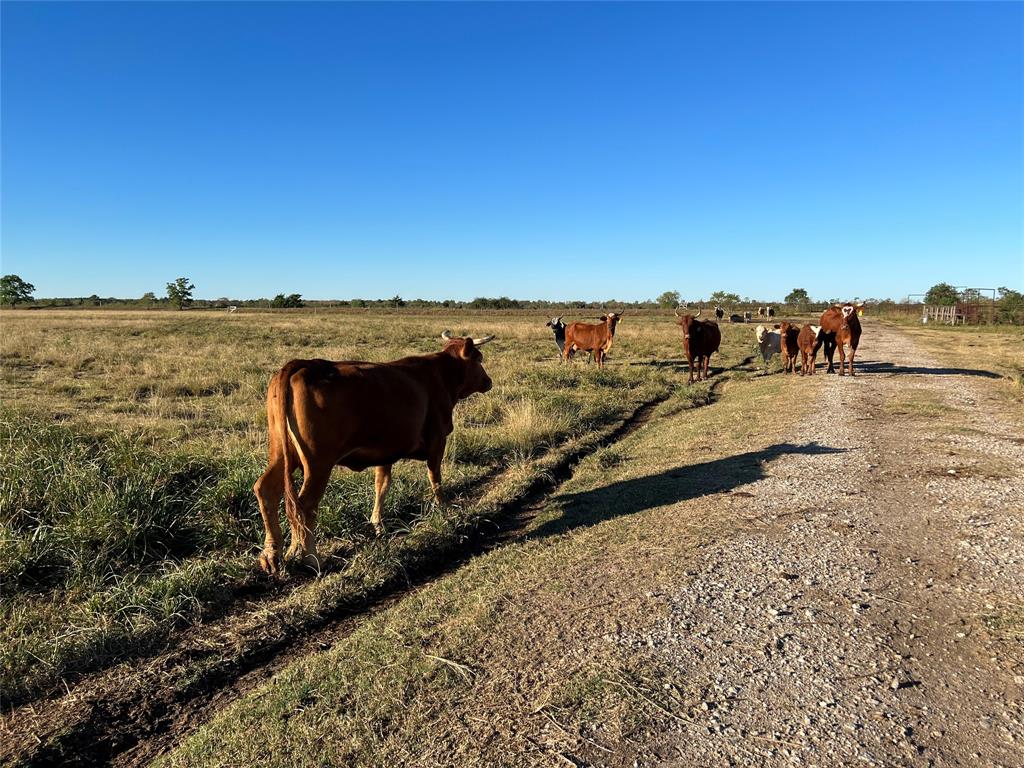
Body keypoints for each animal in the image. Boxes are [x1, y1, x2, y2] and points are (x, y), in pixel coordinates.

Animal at [256, 331, 495, 577]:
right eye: (479, 358)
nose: (488, 381)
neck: (440, 375)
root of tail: (304, 365)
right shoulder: (437, 440)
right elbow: (435, 478)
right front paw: (444, 509)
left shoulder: (386, 451)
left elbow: (382, 485)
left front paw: (378, 524)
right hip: (318, 463)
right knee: (304, 505)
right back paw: (311, 558)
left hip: (282, 453)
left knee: (267, 490)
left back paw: (274, 554)